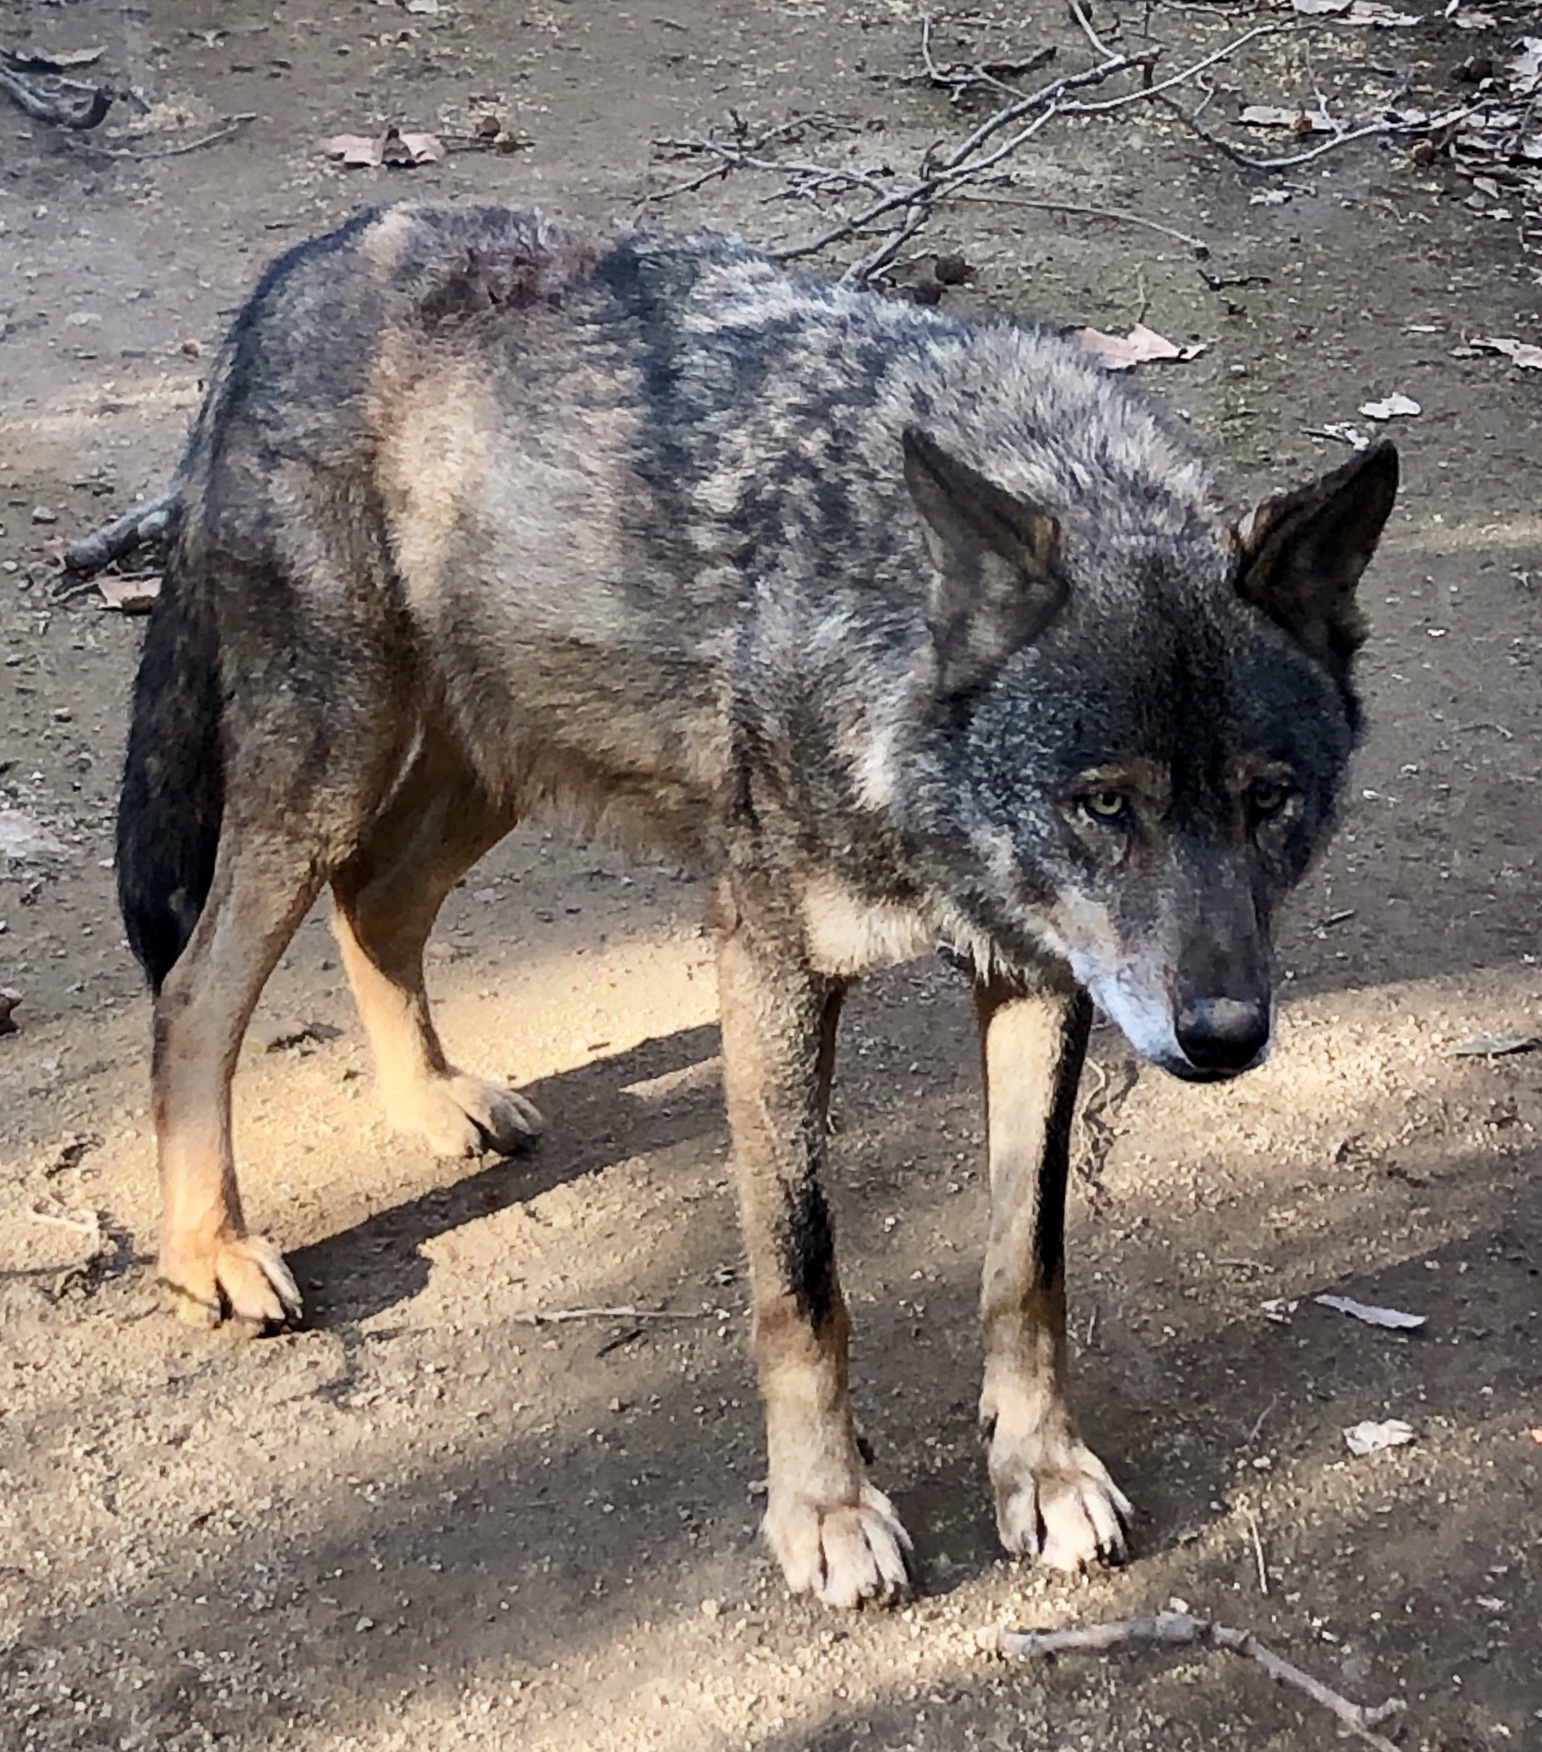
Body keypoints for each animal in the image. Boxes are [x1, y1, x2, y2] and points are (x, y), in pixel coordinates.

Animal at [117, 203, 1397, 1609]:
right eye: (1106, 804)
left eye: (1272, 800)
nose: (1223, 1037)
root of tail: (306, 257)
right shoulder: (772, 968)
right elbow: (805, 1278)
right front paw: (825, 1511)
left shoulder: (1036, 981)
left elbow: (1028, 1261)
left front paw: (1042, 1469)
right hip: (334, 762)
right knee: (195, 993)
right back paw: (209, 1248)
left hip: (489, 764)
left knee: (376, 901)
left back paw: (434, 1101)